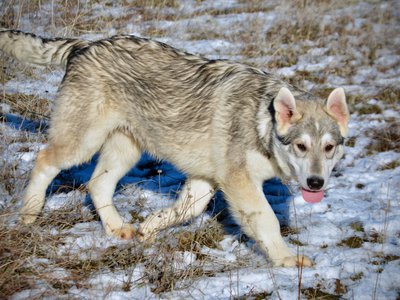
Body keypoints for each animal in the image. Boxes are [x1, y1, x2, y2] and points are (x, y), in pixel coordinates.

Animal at [0, 31, 350, 268]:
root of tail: (86, 44)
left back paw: (117, 229)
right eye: (301, 146)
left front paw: (148, 228)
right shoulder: (239, 182)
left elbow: (184, 211)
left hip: (124, 152)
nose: (316, 183)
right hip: (82, 145)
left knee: (96, 185)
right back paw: (29, 214)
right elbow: (267, 220)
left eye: (329, 148)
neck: (262, 121)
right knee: (45, 161)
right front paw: (287, 260)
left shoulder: (205, 181)